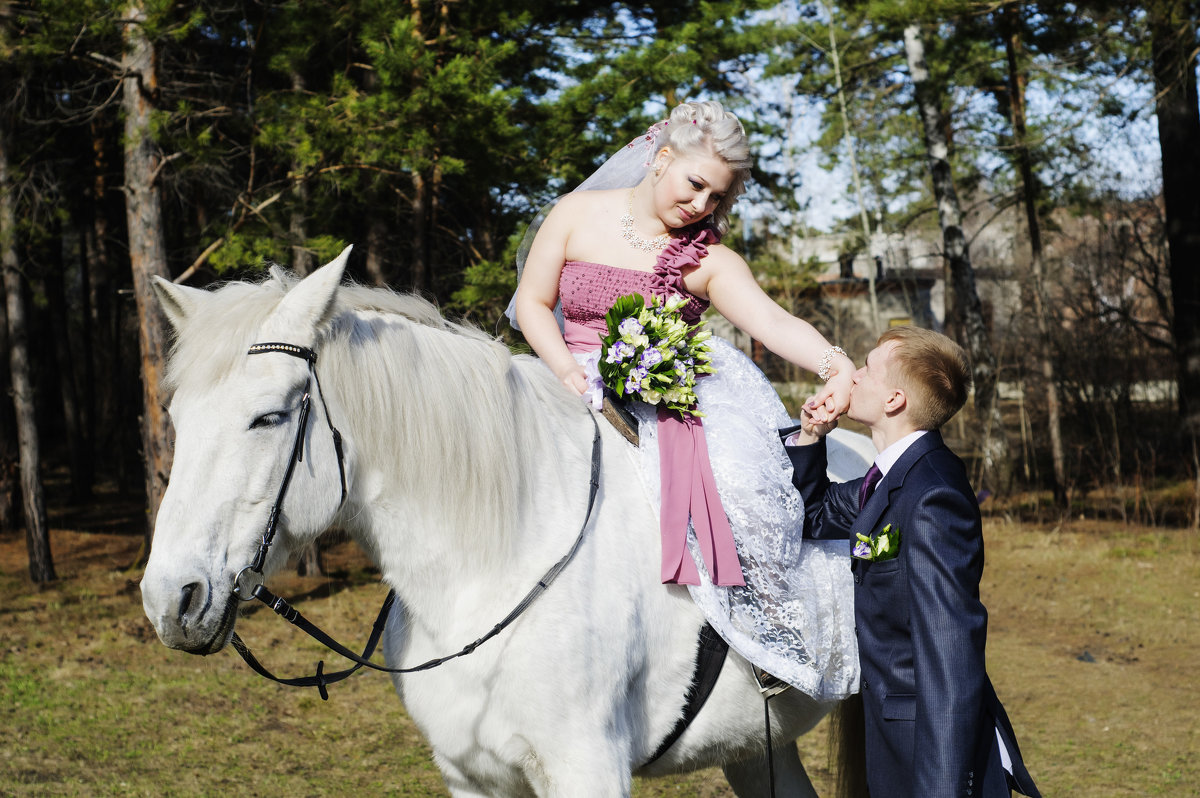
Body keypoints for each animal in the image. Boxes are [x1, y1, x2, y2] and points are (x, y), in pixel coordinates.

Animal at [140, 249, 873, 796]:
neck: (495, 566)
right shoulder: (472, 778)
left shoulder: (586, 772)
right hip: (756, 748)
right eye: (176, 418)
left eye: (269, 416)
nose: (170, 600)